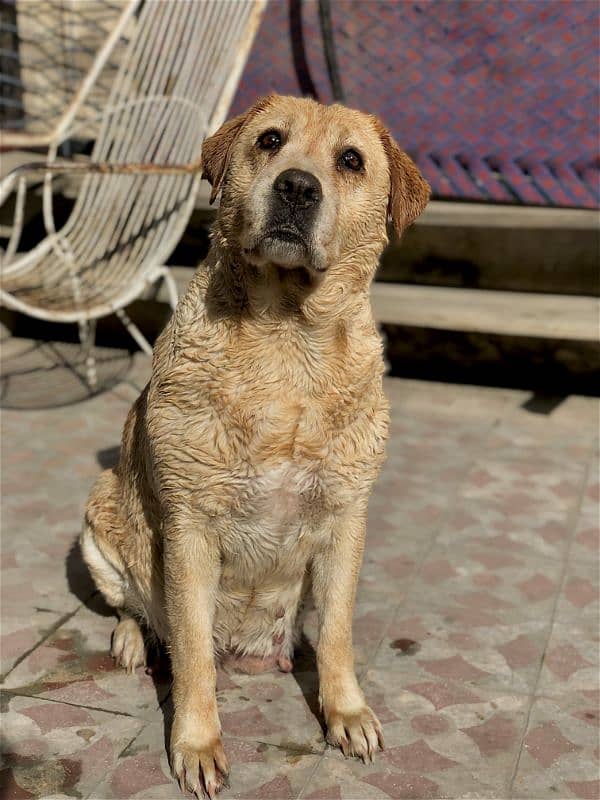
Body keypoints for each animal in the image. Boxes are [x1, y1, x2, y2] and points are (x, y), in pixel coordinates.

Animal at [82, 97, 428, 796]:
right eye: (269, 141)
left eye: (351, 160)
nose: (297, 187)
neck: (287, 341)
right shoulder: (189, 527)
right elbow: (191, 653)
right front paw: (196, 745)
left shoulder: (346, 517)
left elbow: (339, 631)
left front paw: (346, 712)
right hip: (99, 520)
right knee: (134, 608)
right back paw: (131, 639)